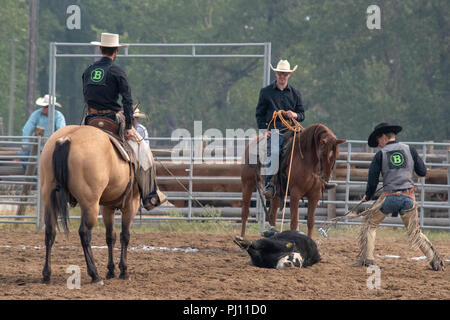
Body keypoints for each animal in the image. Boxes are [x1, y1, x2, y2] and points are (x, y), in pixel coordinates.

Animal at [40, 124, 140, 284]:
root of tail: (66, 139)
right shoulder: (131, 204)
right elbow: (125, 235)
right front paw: (124, 271)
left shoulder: (107, 207)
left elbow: (110, 236)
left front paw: (111, 270)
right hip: (90, 204)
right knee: (84, 233)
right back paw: (95, 275)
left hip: (50, 198)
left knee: (50, 231)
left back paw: (46, 274)